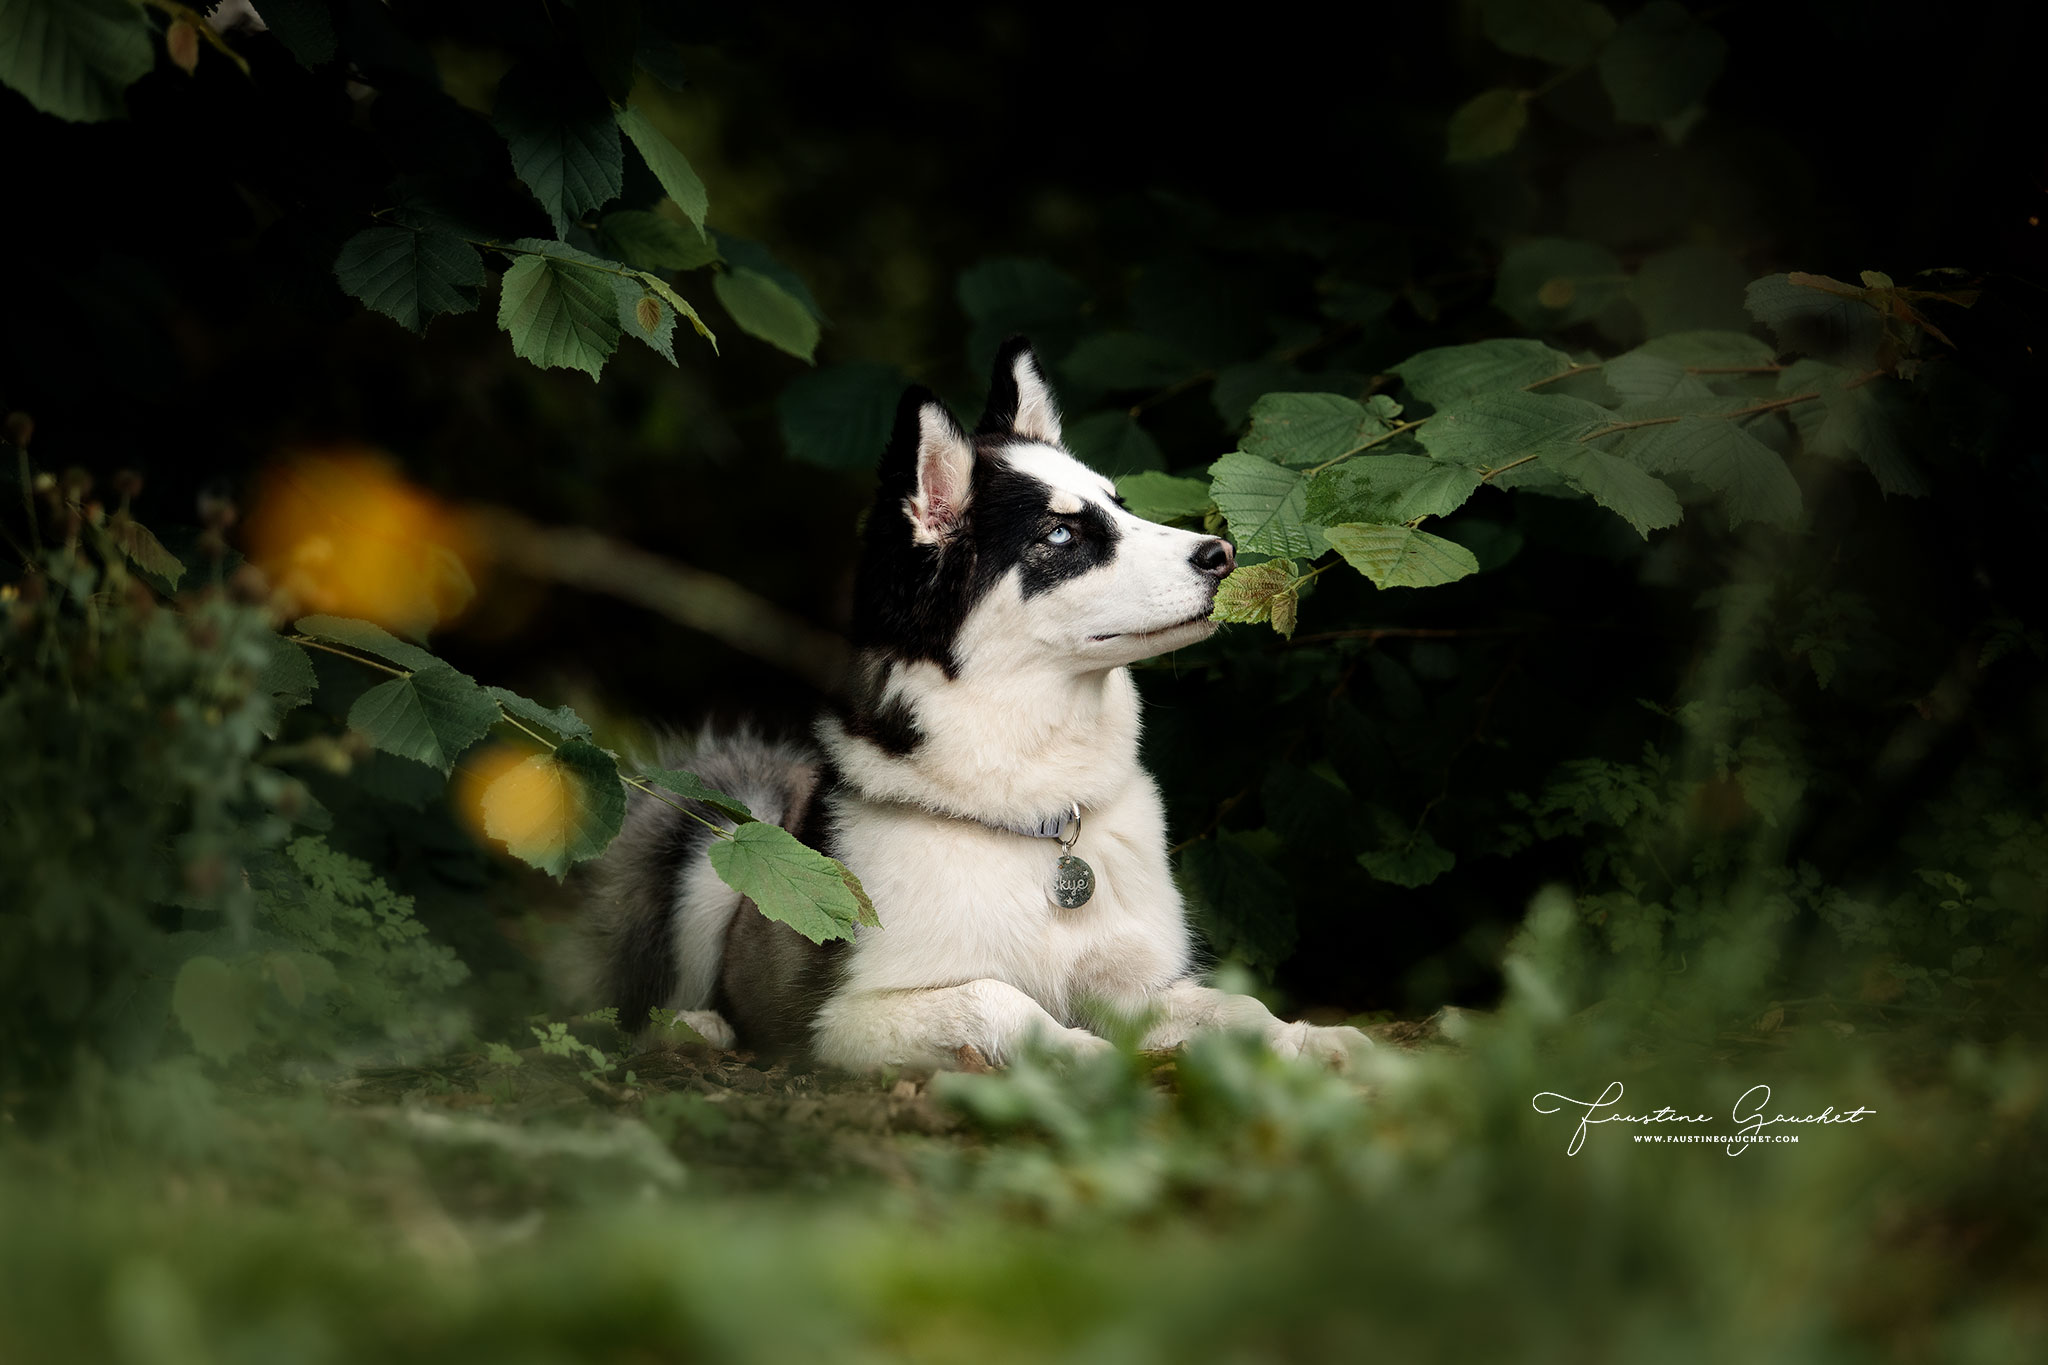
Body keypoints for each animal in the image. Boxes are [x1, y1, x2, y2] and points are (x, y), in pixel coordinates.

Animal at [585, 335, 1368, 1072]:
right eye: (1061, 534)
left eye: (1121, 506)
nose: (1222, 555)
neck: (1041, 821)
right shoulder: (841, 1019)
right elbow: (997, 997)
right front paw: (1082, 1055)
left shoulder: (1141, 986)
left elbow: (1235, 1007)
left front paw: (1310, 1039)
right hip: (712, 833)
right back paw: (693, 1030)